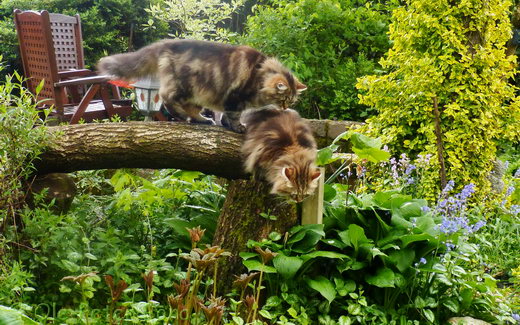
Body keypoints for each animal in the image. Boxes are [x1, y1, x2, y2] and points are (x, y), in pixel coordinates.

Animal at [97, 39, 304, 132]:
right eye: (284, 98)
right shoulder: (235, 98)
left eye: (291, 101)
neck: (260, 73)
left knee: (191, 110)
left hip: (199, 96)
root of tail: (166, 43)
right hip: (185, 86)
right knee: (166, 98)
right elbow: (234, 115)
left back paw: (202, 120)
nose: (285, 107)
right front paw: (238, 127)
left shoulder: (228, 100)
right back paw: (182, 116)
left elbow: (225, 115)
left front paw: (226, 124)